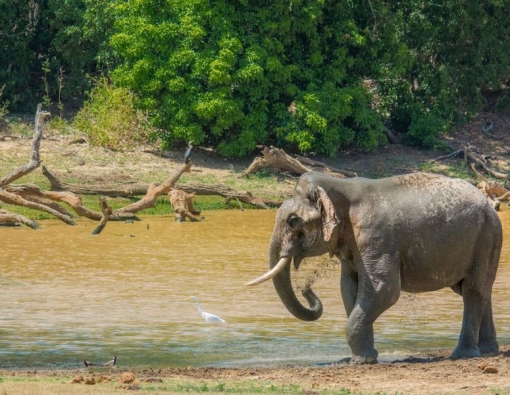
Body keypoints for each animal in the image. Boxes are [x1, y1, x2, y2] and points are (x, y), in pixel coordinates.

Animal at [247, 172, 502, 366]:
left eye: (292, 221)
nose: (307, 288)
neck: (340, 186)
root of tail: (490, 205)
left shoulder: (376, 235)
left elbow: (384, 290)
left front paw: (363, 360)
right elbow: (349, 288)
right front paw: (363, 359)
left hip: (486, 238)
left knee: (473, 291)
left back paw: (462, 355)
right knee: (477, 291)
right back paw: (488, 351)